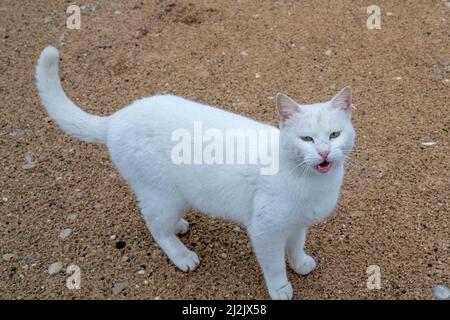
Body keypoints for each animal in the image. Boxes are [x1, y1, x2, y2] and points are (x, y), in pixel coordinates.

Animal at [37, 45, 356, 300]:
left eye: (334, 135)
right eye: (307, 139)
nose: (324, 152)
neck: (311, 181)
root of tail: (117, 117)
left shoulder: (298, 223)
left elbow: (296, 247)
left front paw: (300, 264)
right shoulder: (265, 230)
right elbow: (275, 265)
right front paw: (280, 289)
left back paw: (179, 227)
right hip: (164, 196)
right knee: (155, 227)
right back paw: (181, 256)